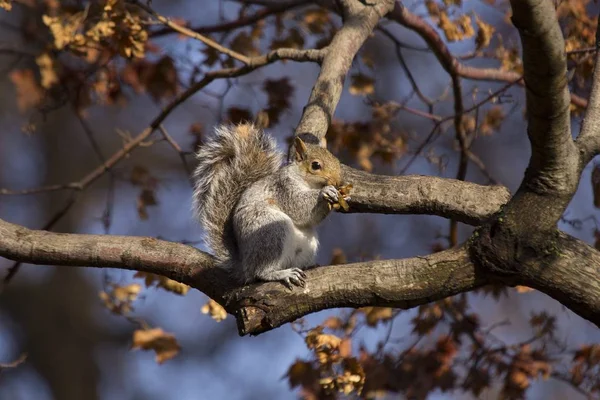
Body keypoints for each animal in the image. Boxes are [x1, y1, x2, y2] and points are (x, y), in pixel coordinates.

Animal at [192, 122, 350, 288]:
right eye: (315, 165)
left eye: (337, 161)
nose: (338, 182)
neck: (308, 182)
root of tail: (245, 265)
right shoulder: (283, 187)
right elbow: (299, 207)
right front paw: (325, 192)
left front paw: (345, 196)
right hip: (271, 230)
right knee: (260, 272)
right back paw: (281, 273)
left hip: (306, 243)